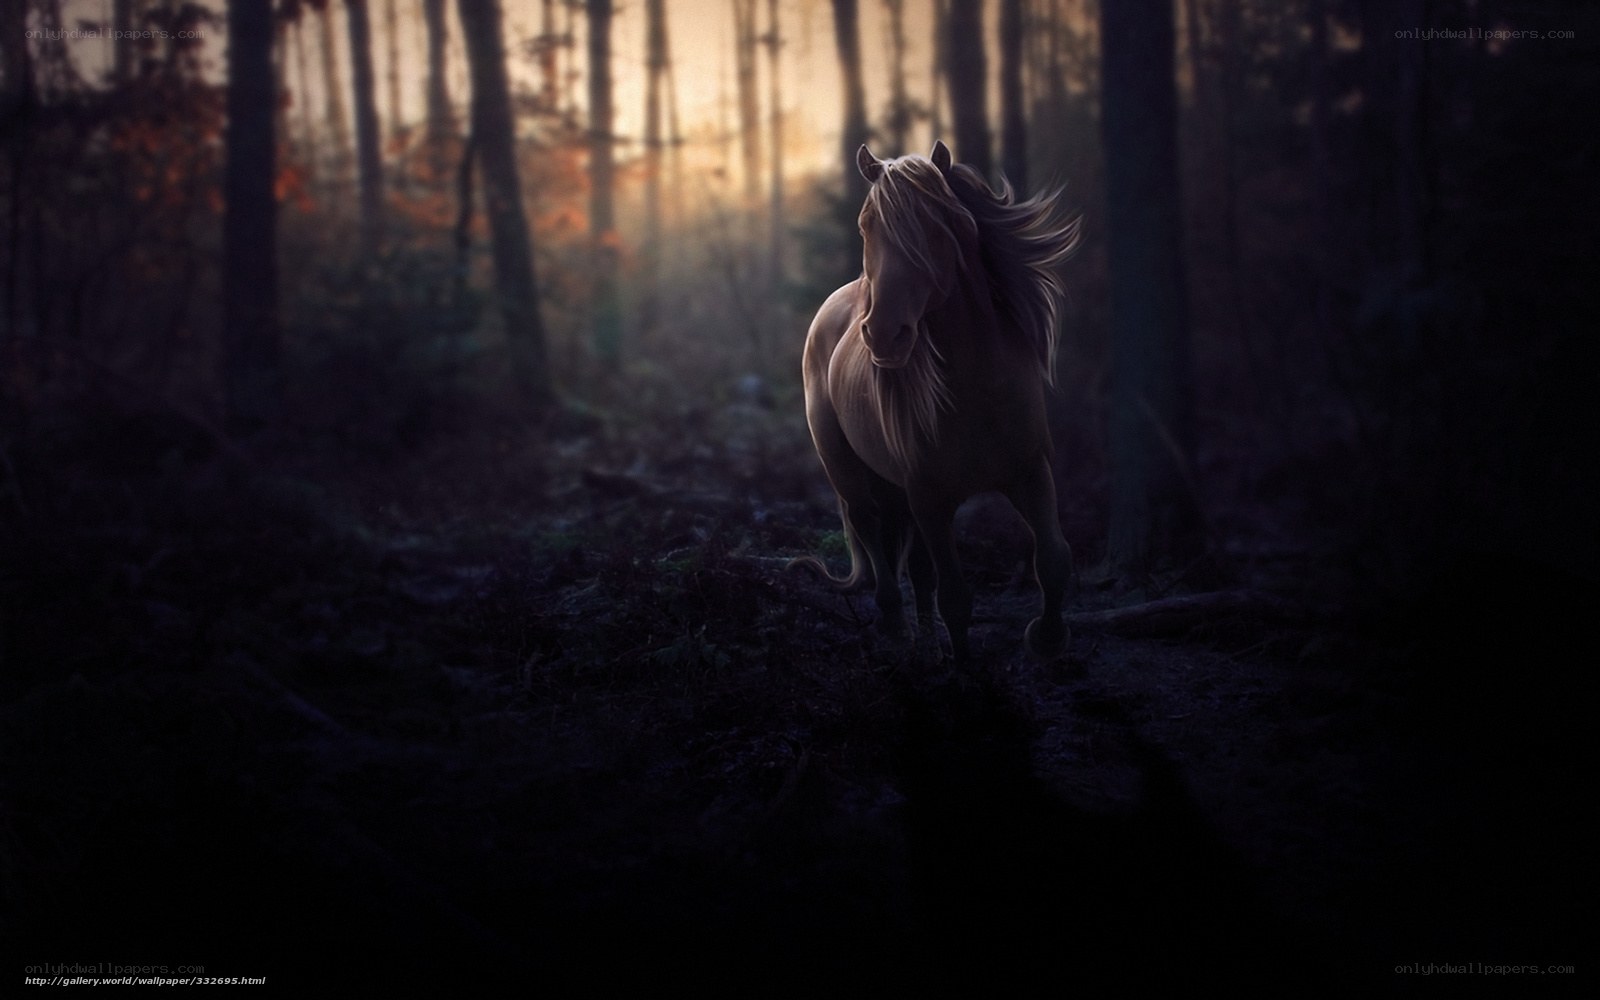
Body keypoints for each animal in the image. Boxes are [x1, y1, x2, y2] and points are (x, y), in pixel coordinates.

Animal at [795, 141, 1080, 661]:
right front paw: (966, 670)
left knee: (914, 567)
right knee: (874, 540)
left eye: (935, 224)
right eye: (866, 225)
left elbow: (1053, 559)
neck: (977, 388)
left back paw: (924, 640)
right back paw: (896, 629)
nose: (883, 334)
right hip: (853, 478)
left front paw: (1047, 638)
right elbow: (956, 598)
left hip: (897, 492)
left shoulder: (1031, 473)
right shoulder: (931, 498)